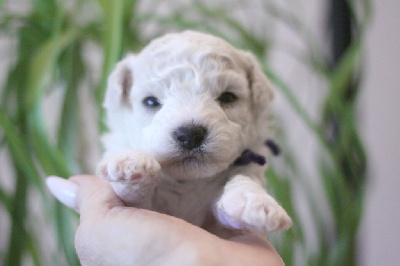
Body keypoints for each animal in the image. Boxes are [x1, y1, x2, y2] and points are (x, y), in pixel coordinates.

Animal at [97, 30, 290, 238]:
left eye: (228, 97)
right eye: (150, 101)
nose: (190, 135)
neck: (187, 182)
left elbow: (243, 179)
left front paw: (254, 202)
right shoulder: (142, 206)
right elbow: (135, 197)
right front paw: (129, 163)